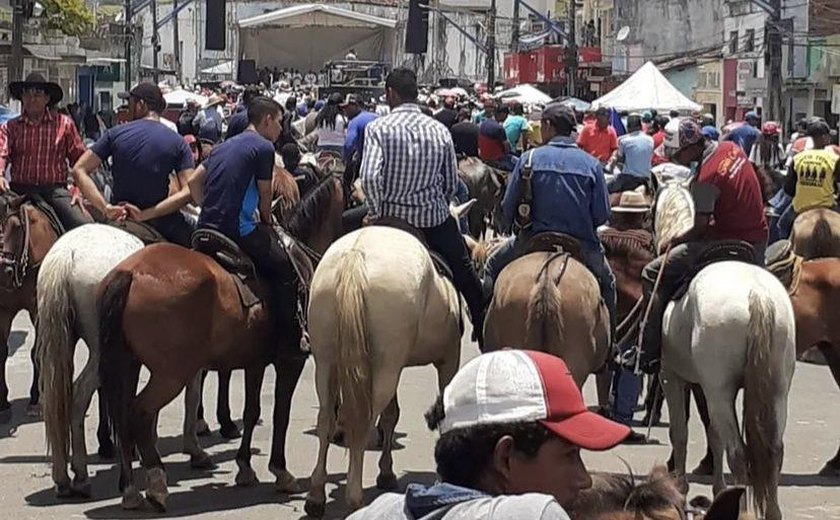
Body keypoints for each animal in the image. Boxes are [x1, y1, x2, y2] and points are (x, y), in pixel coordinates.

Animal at [0, 195, 64, 418]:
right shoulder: (4, 310)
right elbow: (3, 351)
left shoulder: (37, 309)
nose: (3, 271)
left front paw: (35, 399)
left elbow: (36, 351)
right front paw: (4, 404)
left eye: (17, 227)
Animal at [97, 177, 344, 510]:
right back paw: (157, 483)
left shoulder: (255, 362)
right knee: (139, 414)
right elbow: (281, 413)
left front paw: (245, 467)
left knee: (122, 415)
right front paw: (281, 471)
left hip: (128, 364)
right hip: (170, 374)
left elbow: (252, 411)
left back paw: (130, 489)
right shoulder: (290, 361)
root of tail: (130, 273)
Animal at [306, 226, 470, 516]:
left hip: (327, 361)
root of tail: (355, 256)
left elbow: (391, 415)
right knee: (363, 423)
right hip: (386, 368)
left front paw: (386, 472)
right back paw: (354, 497)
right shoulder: (448, 358)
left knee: (327, 417)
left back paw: (316, 495)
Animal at [656, 180, 796, 520]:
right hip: (776, 389)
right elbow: (713, 434)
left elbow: (680, 432)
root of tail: (757, 295)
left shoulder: (672, 377)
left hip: (720, 388)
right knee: (773, 452)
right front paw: (718, 490)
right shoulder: (703, 386)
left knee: (738, 453)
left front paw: (681, 489)